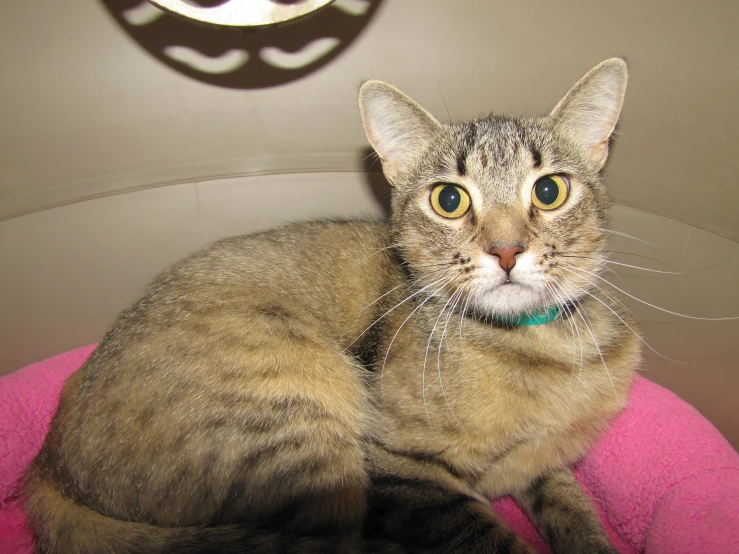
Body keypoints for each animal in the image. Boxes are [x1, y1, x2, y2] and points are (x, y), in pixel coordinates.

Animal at [24, 58, 640, 548]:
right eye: (449, 199)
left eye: (550, 190)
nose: (507, 250)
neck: (538, 343)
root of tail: (51, 469)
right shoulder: (401, 469)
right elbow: (489, 537)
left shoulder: (547, 465)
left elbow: (573, 509)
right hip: (304, 427)